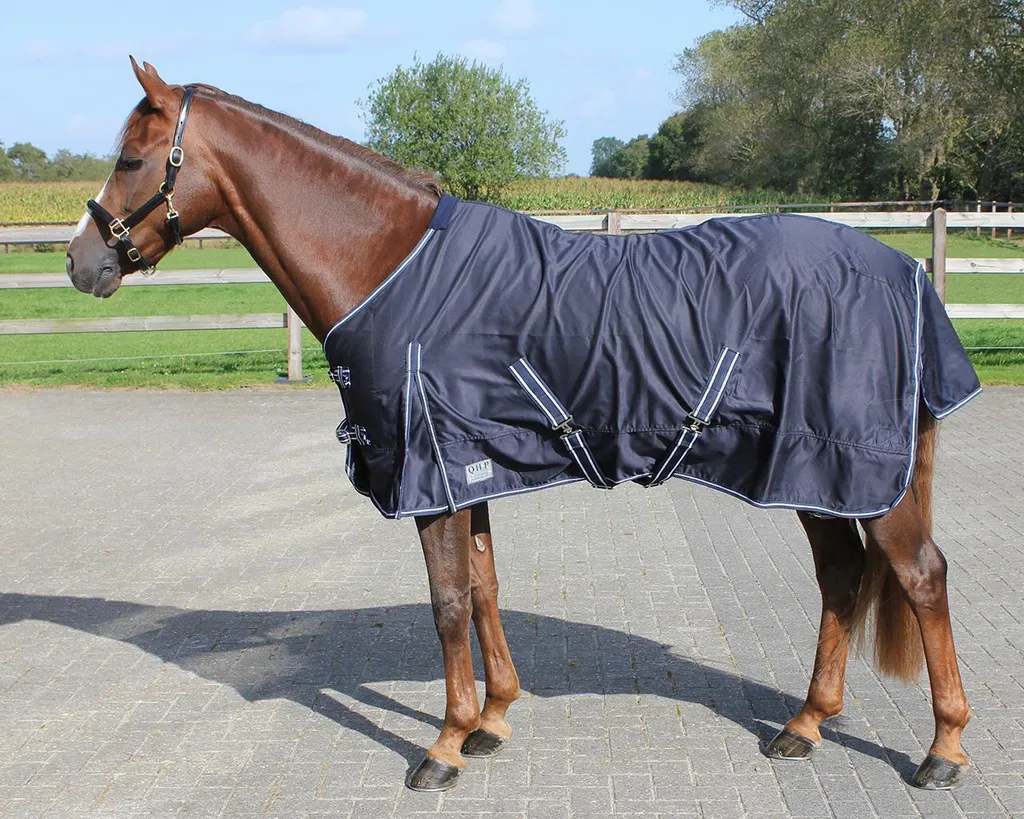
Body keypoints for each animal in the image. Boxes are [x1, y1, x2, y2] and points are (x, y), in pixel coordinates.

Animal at [65, 58, 975, 793]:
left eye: (131, 158)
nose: (81, 262)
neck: (392, 265)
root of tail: (903, 268)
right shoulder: (468, 468)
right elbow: (483, 588)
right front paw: (493, 718)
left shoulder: (426, 475)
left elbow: (445, 604)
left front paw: (442, 745)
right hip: (814, 474)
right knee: (843, 578)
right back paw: (806, 724)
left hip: (855, 472)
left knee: (922, 576)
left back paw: (943, 750)